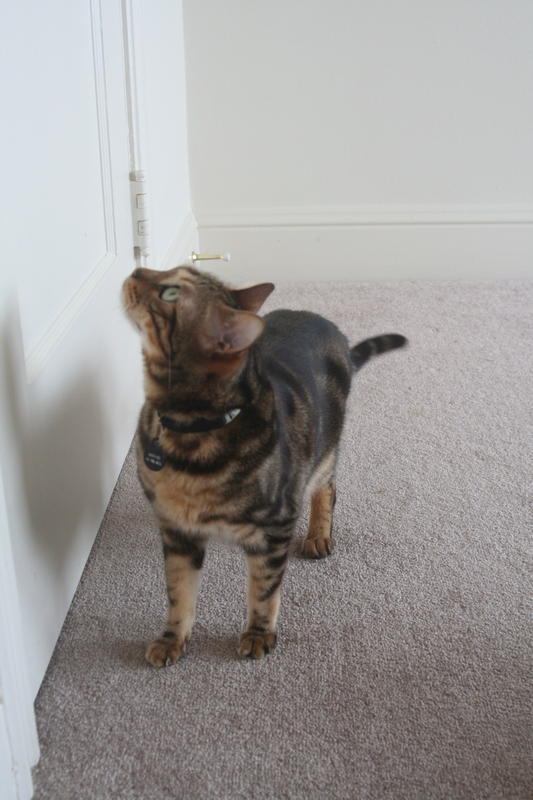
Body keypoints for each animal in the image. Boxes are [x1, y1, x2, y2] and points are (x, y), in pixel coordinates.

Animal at [122, 265, 406, 664]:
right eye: (171, 271)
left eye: (171, 293)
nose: (136, 269)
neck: (190, 433)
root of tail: (332, 329)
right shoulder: (177, 531)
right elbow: (179, 592)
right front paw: (171, 638)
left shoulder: (276, 526)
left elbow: (263, 591)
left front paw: (258, 634)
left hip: (323, 451)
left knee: (328, 487)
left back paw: (318, 535)